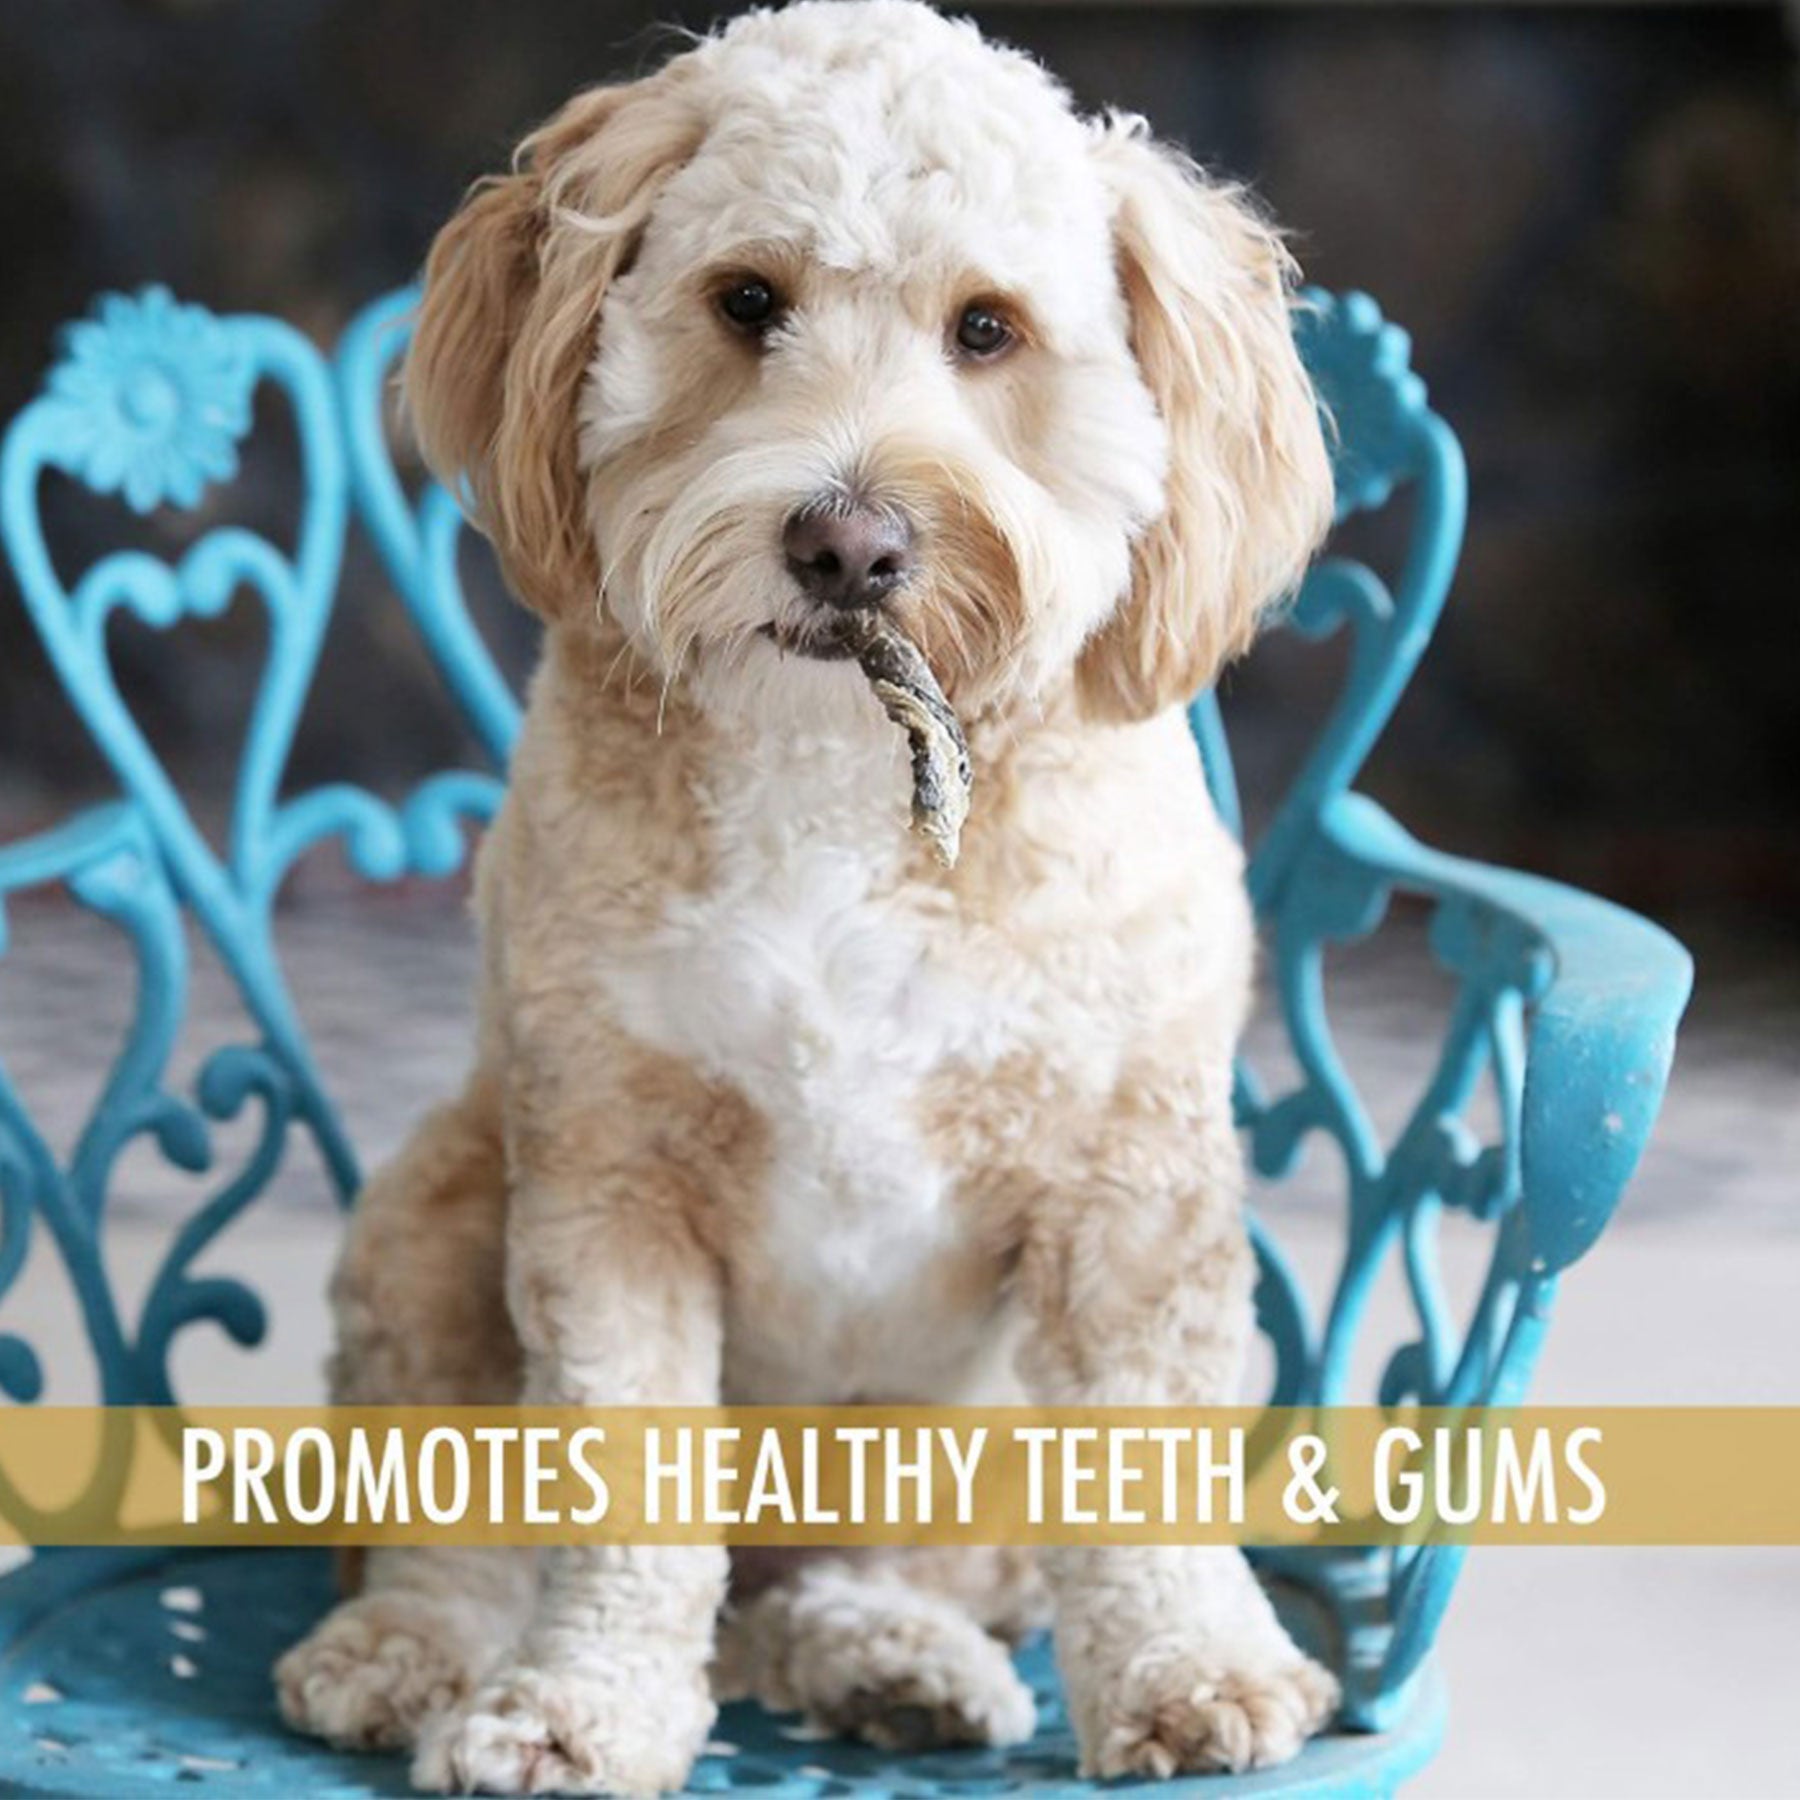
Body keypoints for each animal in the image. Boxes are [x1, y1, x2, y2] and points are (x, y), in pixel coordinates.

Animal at [277, 7, 1339, 1792]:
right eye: (746, 300)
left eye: (988, 329)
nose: (848, 543)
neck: (841, 775)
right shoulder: (605, 1186)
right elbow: (620, 1507)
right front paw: (578, 1710)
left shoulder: (1128, 1194)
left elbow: (1145, 1470)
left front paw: (1195, 1671)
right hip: (435, 1213)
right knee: (461, 1532)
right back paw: (407, 1651)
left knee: (853, 1583)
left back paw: (888, 1658)